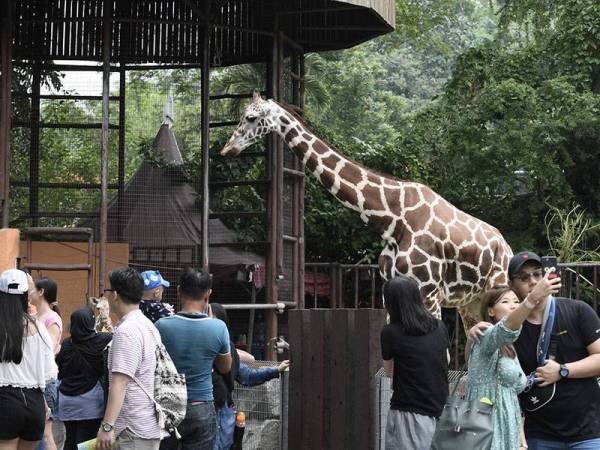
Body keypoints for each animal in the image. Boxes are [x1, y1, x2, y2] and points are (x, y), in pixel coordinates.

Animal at [220, 92, 510, 330]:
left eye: (251, 117)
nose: (227, 148)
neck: (393, 221)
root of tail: (505, 245)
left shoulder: (429, 291)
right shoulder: (390, 289)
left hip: (497, 286)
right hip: (469, 302)